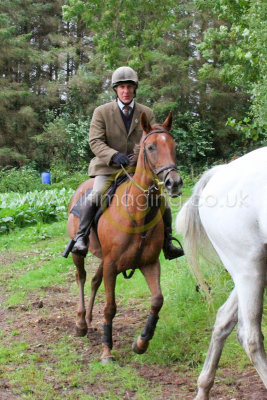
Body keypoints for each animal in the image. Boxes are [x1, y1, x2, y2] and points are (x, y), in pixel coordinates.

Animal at [67, 111, 184, 362]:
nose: (174, 183)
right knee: (81, 277)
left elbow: (157, 301)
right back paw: (81, 323)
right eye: (150, 147)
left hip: (104, 259)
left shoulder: (149, 263)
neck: (138, 214)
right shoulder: (112, 265)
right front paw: (106, 351)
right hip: (80, 255)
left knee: (94, 281)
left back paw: (89, 320)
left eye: (174, 146)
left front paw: (141, 342)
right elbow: (110, 308)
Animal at [176, 147, 267, 400]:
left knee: (224, 318)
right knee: (249, 336)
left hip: (251, 269)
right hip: (249, 268)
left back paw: (203, 388)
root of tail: (219, 173)